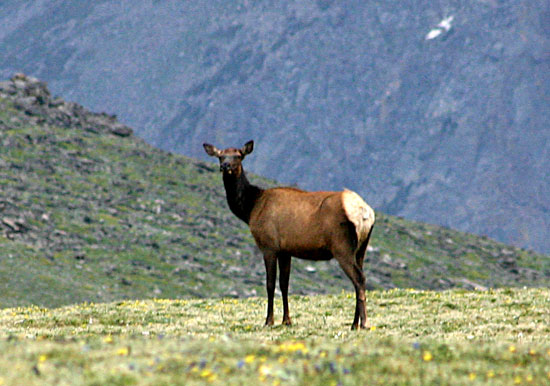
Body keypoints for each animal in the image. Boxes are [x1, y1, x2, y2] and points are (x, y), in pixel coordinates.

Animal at [205, 140, 378, 330]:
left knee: (359, 279)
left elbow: (270, 284)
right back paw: (355, 323)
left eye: (238, 155)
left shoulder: (269, 245)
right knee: (360, 278)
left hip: (342, 247)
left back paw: (364, 323)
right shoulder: (286, 251)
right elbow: (284, 284)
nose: (225, 166)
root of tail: (365, 212)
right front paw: (287, 320)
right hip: (361, 248)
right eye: (220, 156)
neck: (251, 209)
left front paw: (269, 320)